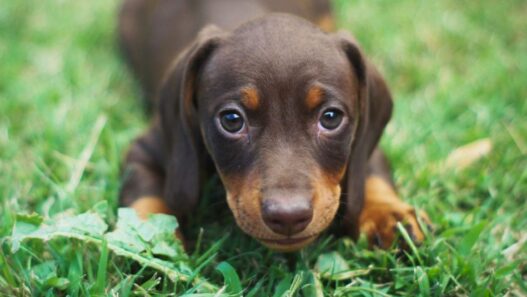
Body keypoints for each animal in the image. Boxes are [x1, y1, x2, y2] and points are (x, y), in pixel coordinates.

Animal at [117, 0, 426, 251]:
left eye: (331, 117)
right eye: (232, 120)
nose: (288, 216)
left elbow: (372, 173)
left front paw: (388, 214)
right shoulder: (145, 150)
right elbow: (144, 199)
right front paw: (145, 238)